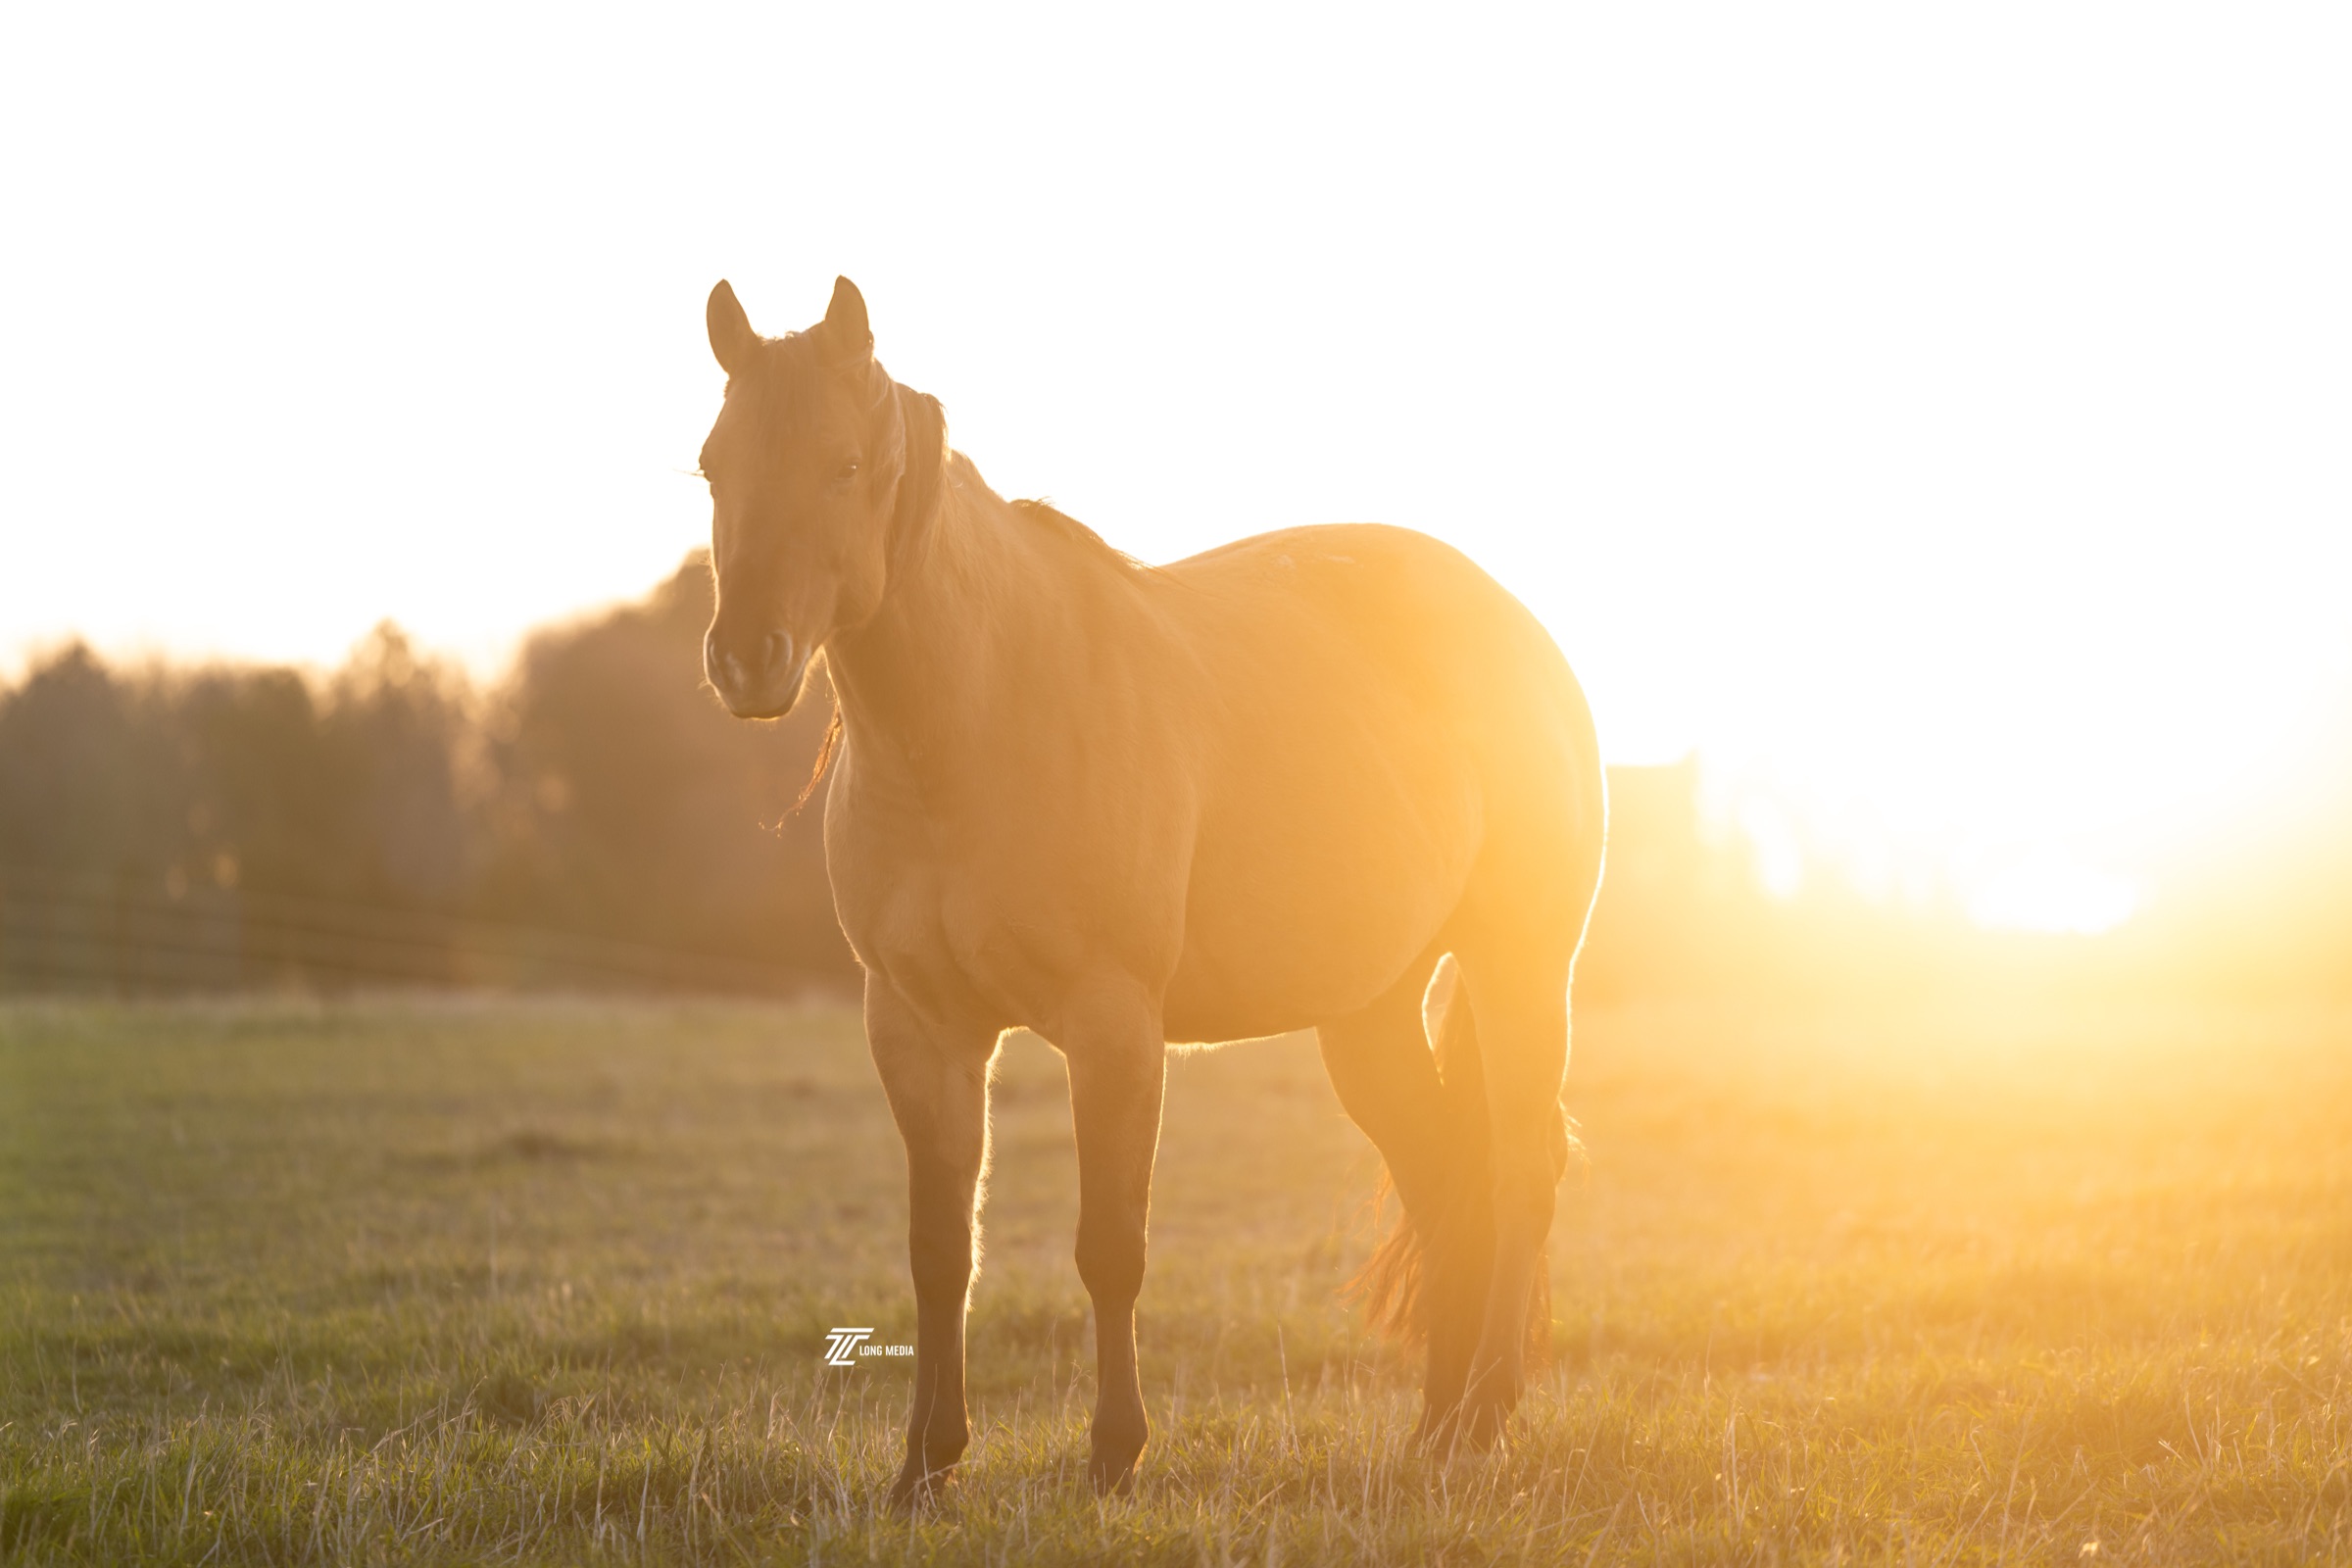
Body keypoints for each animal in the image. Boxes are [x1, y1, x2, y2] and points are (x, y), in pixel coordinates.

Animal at [696, 276, 1606, 1506]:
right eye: (713, 466)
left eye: (843, 464)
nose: (747, 657)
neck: (981, 720)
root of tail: (1520, 627)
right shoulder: (920, 1027)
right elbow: (941, 1252)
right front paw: (925, 1464)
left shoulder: (1113, 1024)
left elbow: (1109, 1246)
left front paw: (1114, 1453)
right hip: (1369, 1010)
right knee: (1440, 1173)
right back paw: (1439, 1429)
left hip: (1520, 970)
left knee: (1518, 1171)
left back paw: (1484, 1417)